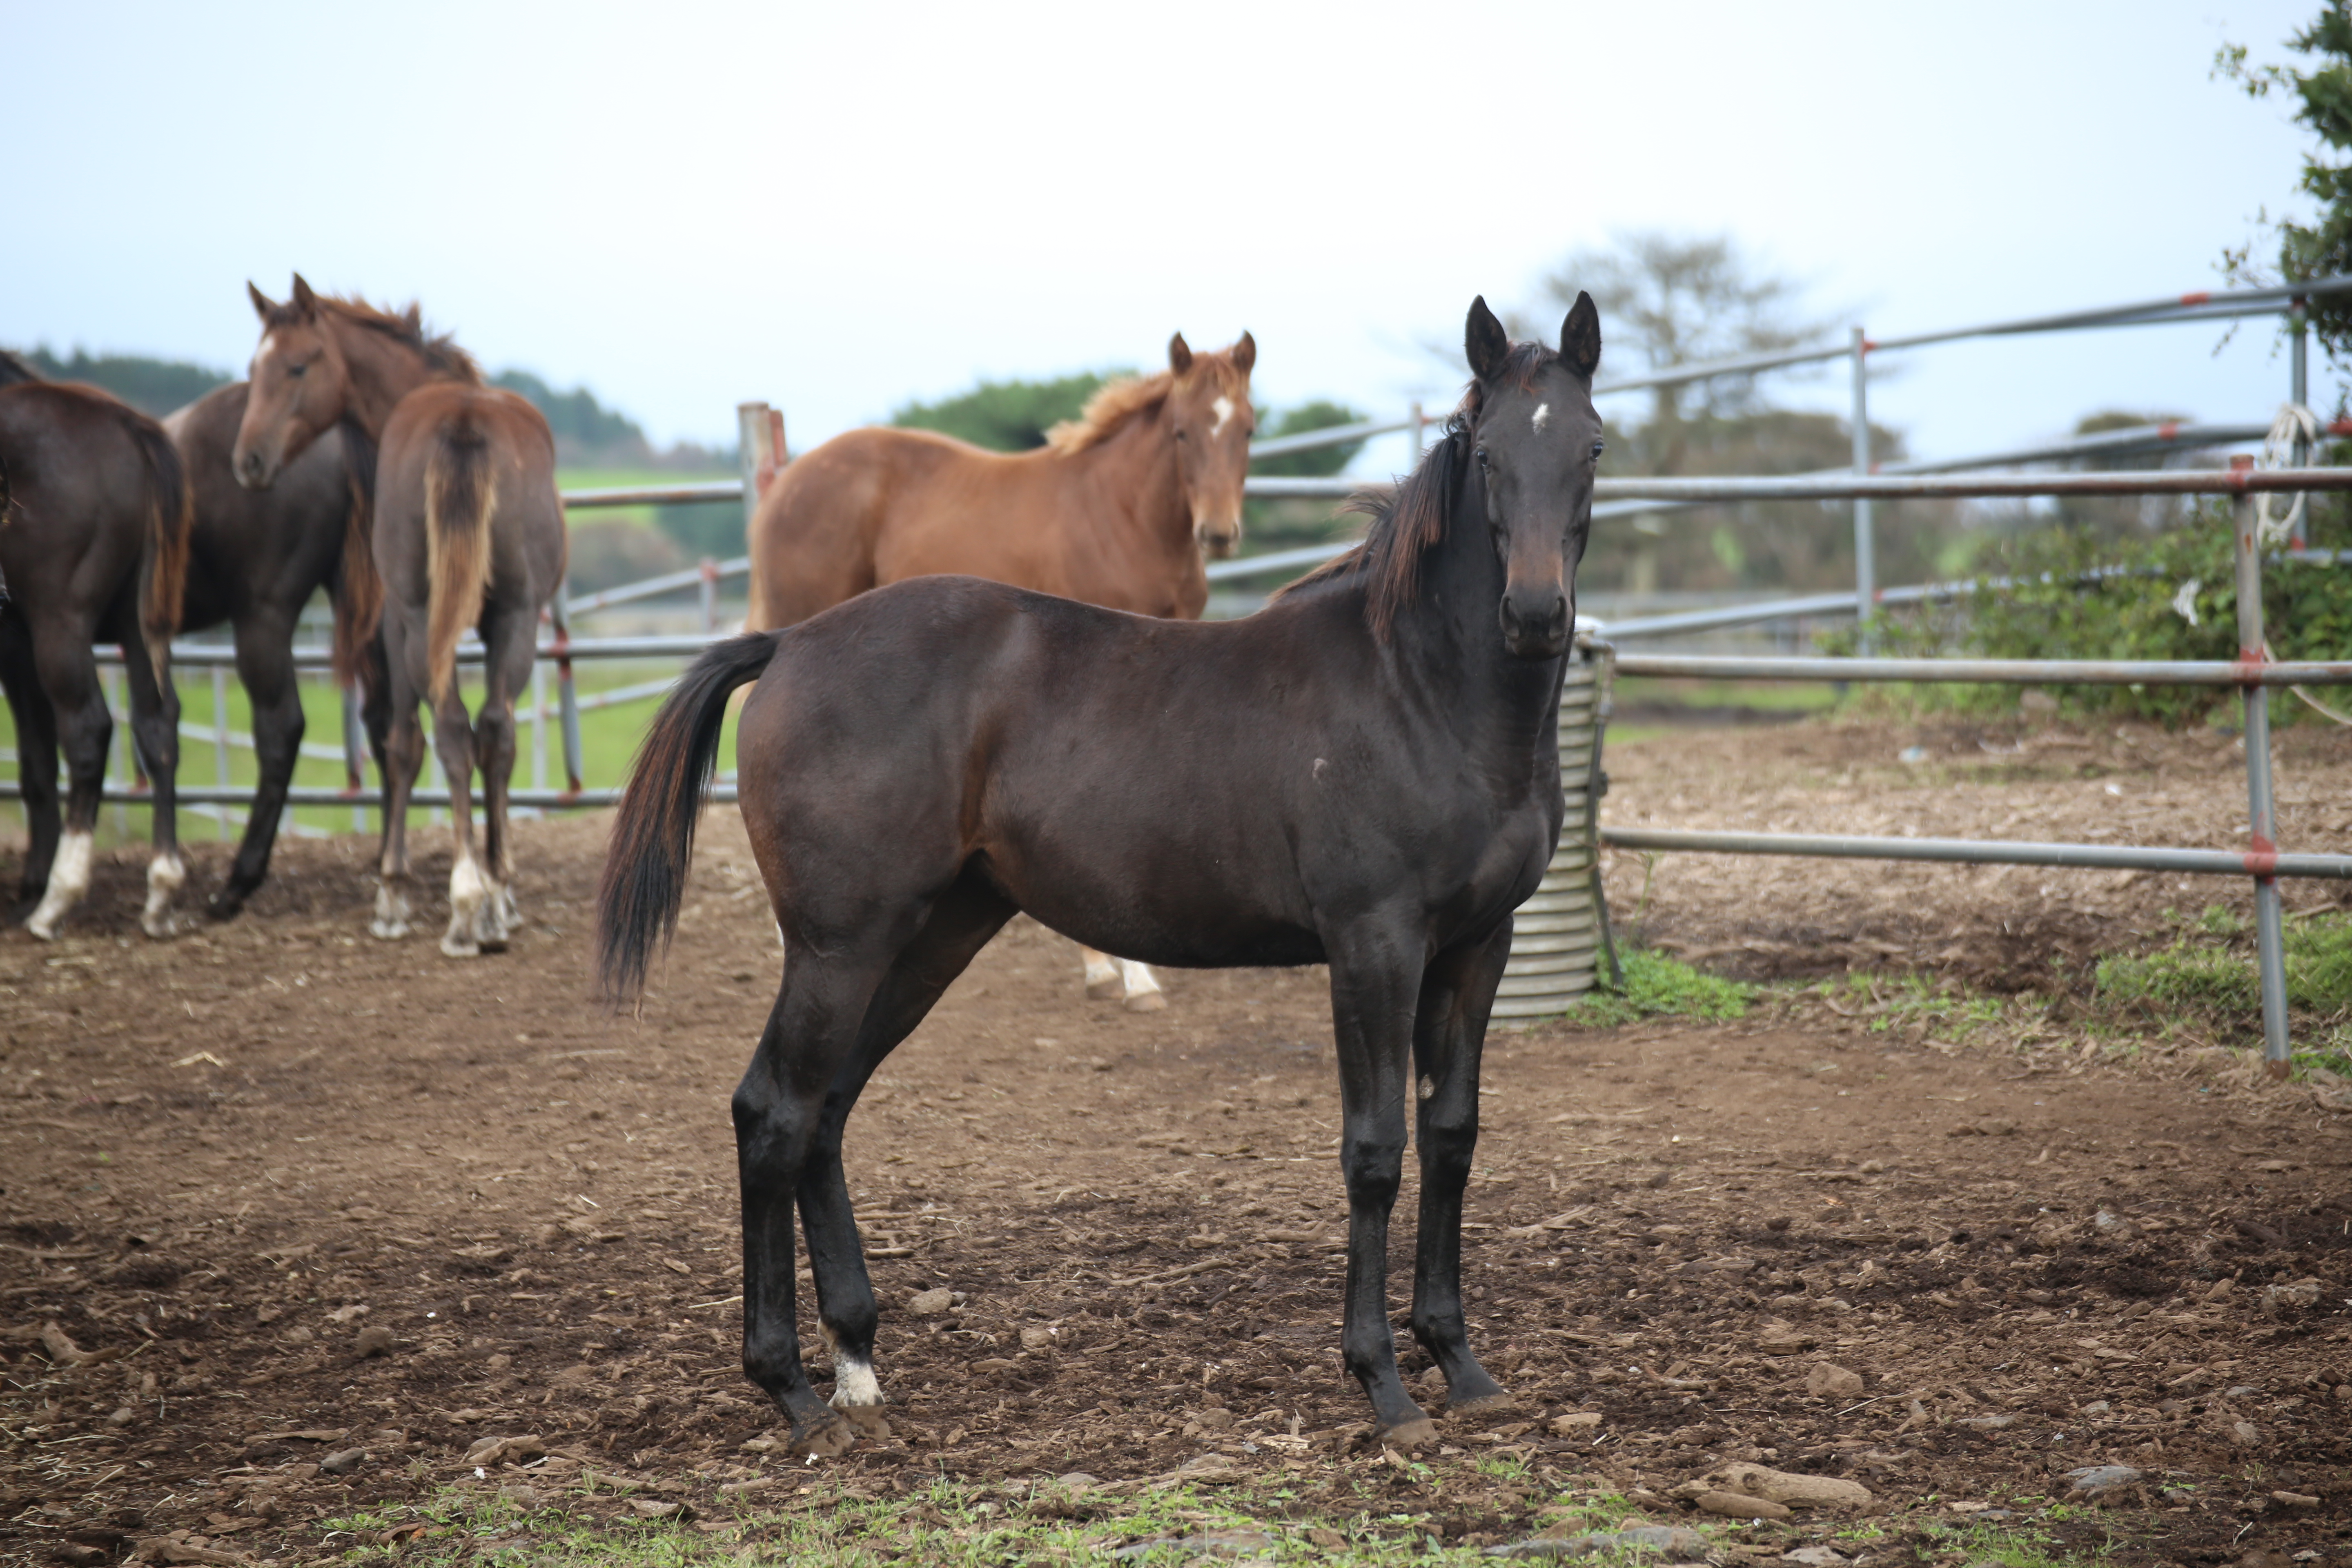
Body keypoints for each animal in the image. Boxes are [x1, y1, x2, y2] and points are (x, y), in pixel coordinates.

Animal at [0, 376, 192, 945]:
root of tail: (127, 424)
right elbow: (36, 762)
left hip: (60, 622)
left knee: (88, 729)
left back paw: (56, 899)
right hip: (136, 619)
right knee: (157, 725)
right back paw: (161, 891)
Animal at [229, 281, 569, 959]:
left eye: (298, 366)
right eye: (256, 367)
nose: (249, 460)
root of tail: (463, 423)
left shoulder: (395, 624)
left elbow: (403, 745)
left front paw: (394, 892)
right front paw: (499, 892)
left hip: (417, 617)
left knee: (447, 729)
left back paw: (465, 904)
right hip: (516, 618)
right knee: (494, 729)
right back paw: (493, 895)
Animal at [748, 336, 1270, 1011]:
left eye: (1249, 429)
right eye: (1181, 432)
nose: (1219, 532)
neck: (1123, 514)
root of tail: (784, 485)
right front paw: (1123, 975)